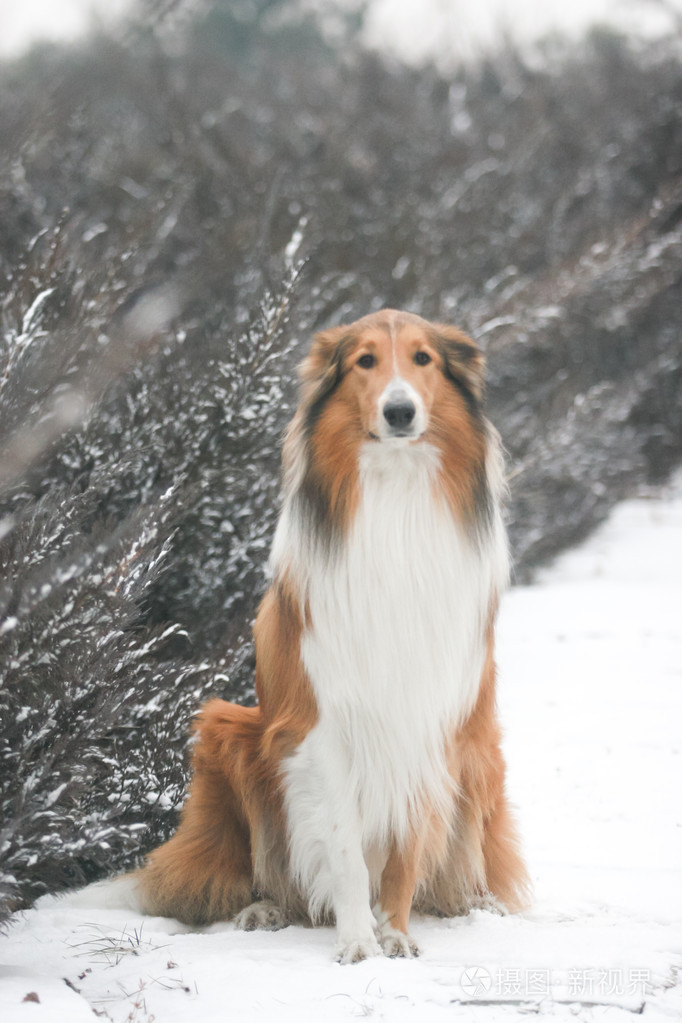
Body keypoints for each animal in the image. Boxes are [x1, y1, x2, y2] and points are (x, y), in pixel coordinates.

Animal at [135, 306, 531, 961]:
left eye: (423, 359)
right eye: (364, 361)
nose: (400, 413)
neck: (394, 494)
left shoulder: (427, 724)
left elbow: (406, 850)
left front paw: (394, 933)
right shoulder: (318, 726)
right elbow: (345, 849)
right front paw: (358, 942)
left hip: (482, 754)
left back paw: (479, 904)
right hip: (233, 731)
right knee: (261, 873)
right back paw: (264, 909)